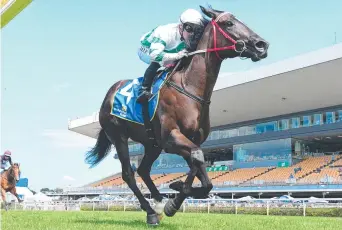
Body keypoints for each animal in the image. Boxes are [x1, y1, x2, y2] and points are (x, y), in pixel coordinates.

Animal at [85, 6, 268, 226]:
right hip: (118, 136)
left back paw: (157, 200)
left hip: (152, 143)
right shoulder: (171, 138)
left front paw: (176, 191)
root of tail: (110, 93)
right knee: (129, 173)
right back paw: (151, 211)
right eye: (228, 23)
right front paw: (174, 199)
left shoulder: (187, 140)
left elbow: (201, 169)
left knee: (143, 170)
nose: (261, 45)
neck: (189, 87)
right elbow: (197, 158)